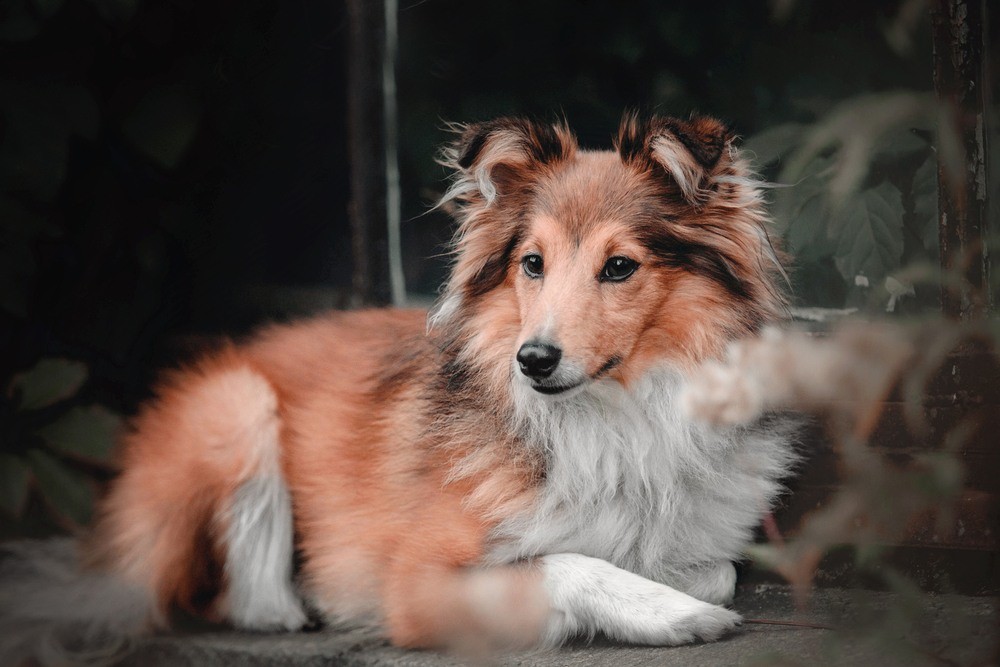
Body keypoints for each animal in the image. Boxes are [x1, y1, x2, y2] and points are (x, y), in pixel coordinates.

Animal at [0, 115, 796, 664]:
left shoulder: (702, 536)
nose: (533, 361)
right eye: (532, 263)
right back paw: (293, 604)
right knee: (228, 597)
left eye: (620, 266)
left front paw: (673, 588)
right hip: (237, 405)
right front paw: (670, 613)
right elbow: (564, 563)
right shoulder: (420, 583)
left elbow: (714, 569)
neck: (614, 413)